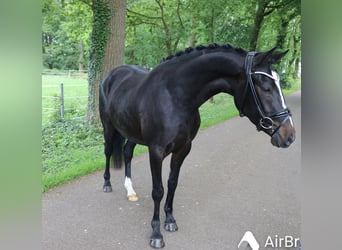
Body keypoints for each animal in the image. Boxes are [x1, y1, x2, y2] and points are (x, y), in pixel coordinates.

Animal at [98, 43, 294, 248]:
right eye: (266, 88)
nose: (289, 135)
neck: (174, 96)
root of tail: (112, 74)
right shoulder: (156, 151)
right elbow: (158, 191)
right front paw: (156, 234)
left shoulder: (183, 149)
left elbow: (172, 183)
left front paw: (170, 220)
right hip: (108, 127)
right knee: (108, 151)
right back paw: (107, 184)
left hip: (132, 133)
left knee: (127, 153)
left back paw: (130, 190)